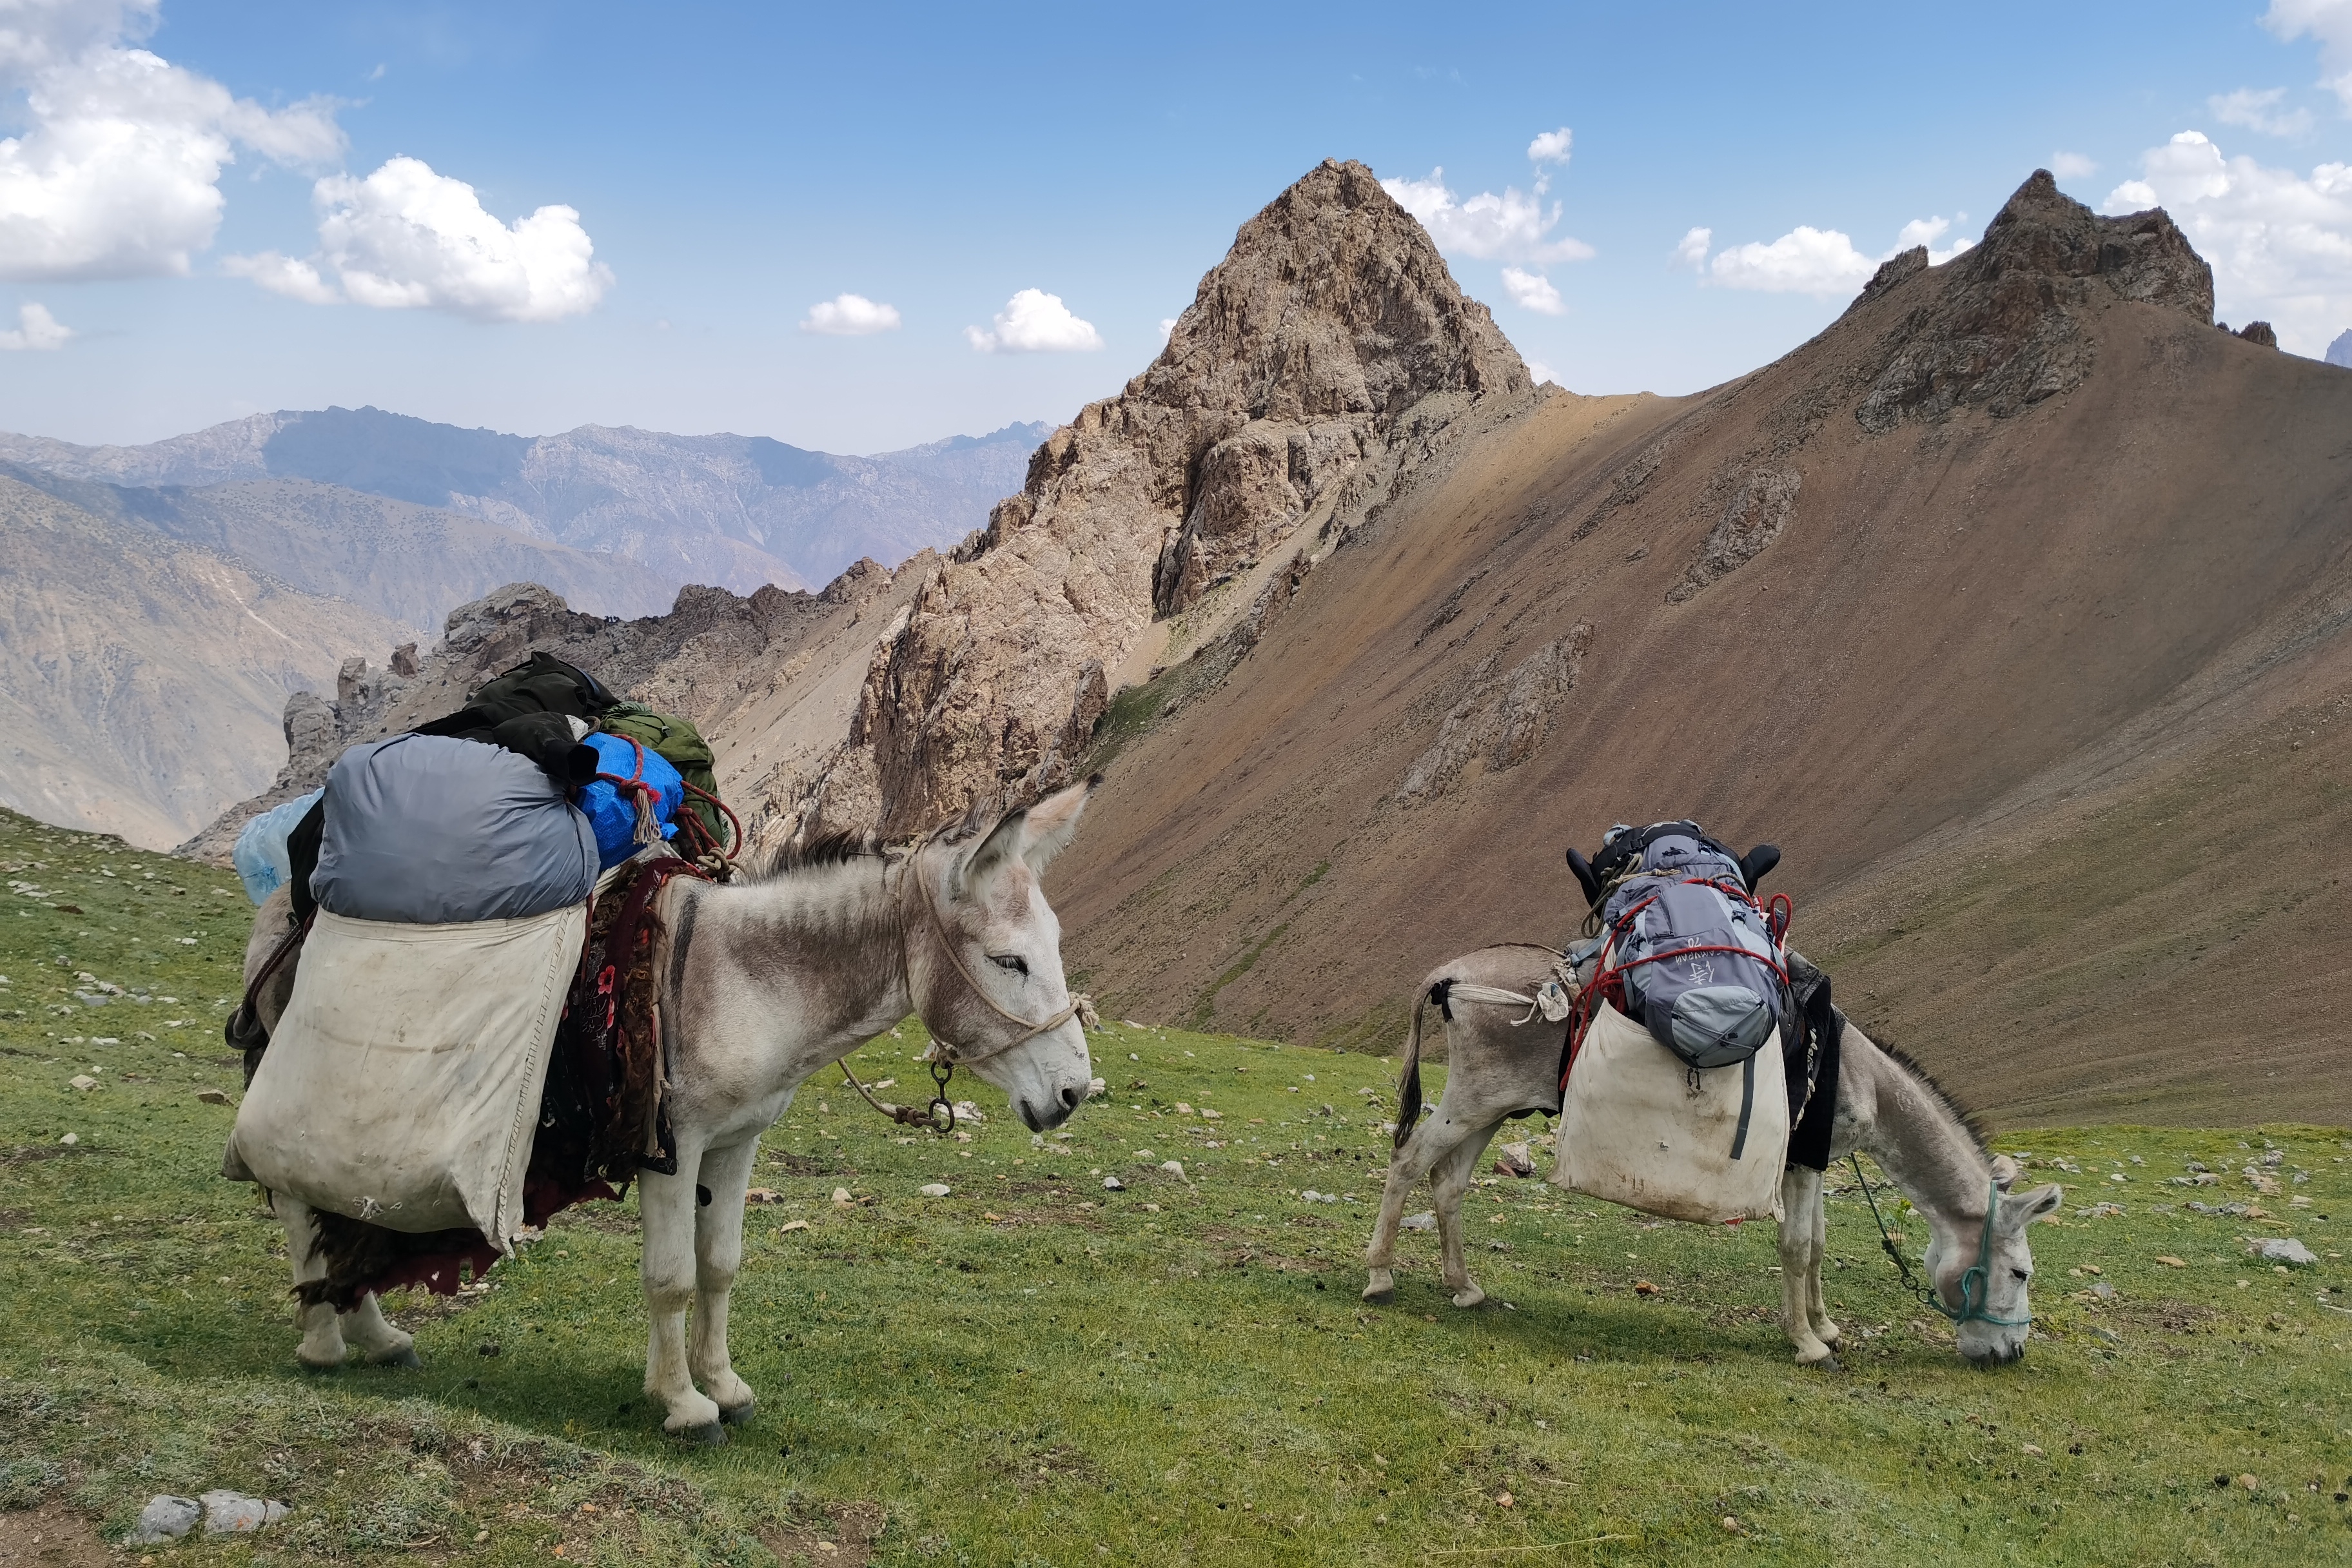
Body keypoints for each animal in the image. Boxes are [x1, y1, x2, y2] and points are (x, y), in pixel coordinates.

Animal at [239, 779, 1101, 1440]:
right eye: (1009, 960)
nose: (1071, 1093)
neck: (750, 979)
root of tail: (287, 900)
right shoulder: (670, 1142)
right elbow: (671, 1276)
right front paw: (684, 1405)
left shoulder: (737, 1142)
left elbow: (720, 1265)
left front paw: (723, 1386)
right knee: (299, 1201)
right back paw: (324, 1341)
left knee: (348, 1207)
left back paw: (375, 1333)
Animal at [1360, 944, 2062, 1368]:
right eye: (2022, 1272)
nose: (2011, 1353)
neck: (1858, 1074)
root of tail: (1453, 972)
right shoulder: (1800, 1162)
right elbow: (1797, 1247)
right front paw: (1808, 1342)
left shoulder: (1812, 1160)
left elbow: (1818, 1244)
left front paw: (1825, 1325)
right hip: (1472, 1098)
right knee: (1408, 1161)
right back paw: (1380, 1277)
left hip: (1493, 1108)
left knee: (1448, 1182)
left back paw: (1465, 1288)